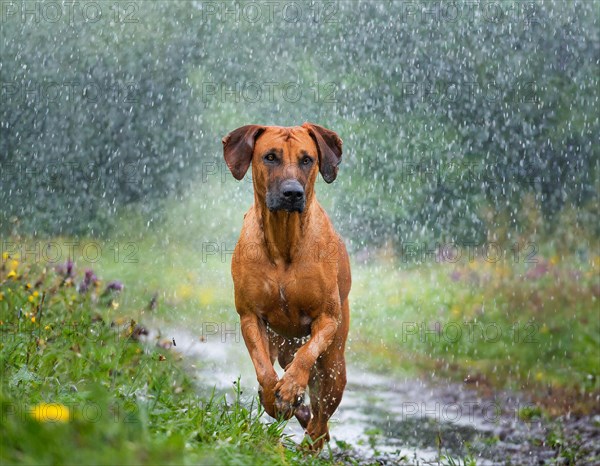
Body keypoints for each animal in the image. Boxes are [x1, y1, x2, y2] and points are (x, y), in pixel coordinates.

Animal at [223, 122, 350, 450]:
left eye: (307, 159)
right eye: (270, 157)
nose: (292, 192)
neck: (283, 239)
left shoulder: (328, 318)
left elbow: (307, 353)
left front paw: (291, 387)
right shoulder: (250, 316)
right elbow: (264, 371)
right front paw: (273, 397)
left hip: (334, 368)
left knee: (321, 423)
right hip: (280, 346)